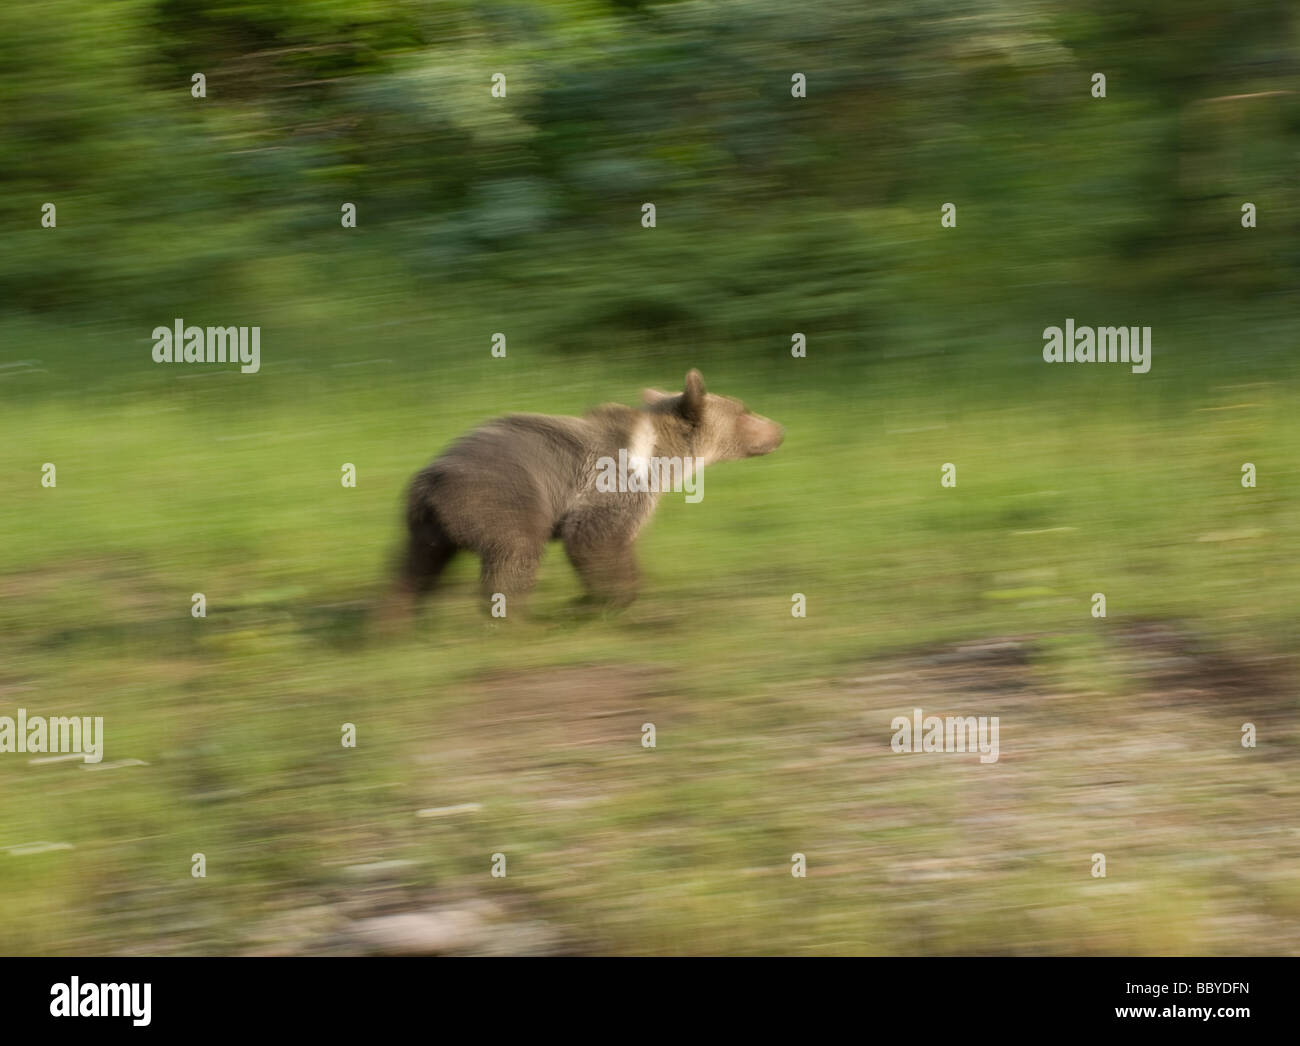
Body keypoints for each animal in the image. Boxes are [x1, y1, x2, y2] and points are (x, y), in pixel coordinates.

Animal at [395, 366, 780, 613]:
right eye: (744, 410)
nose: (780, 429)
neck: (660, 457)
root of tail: (431, 479)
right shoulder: (610, 484)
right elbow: (595, 539)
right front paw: (611, 598)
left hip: (427, 522)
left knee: (413, 566)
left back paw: (396, 621)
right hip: (498, 497)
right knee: (515, 553)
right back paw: (512, 619)